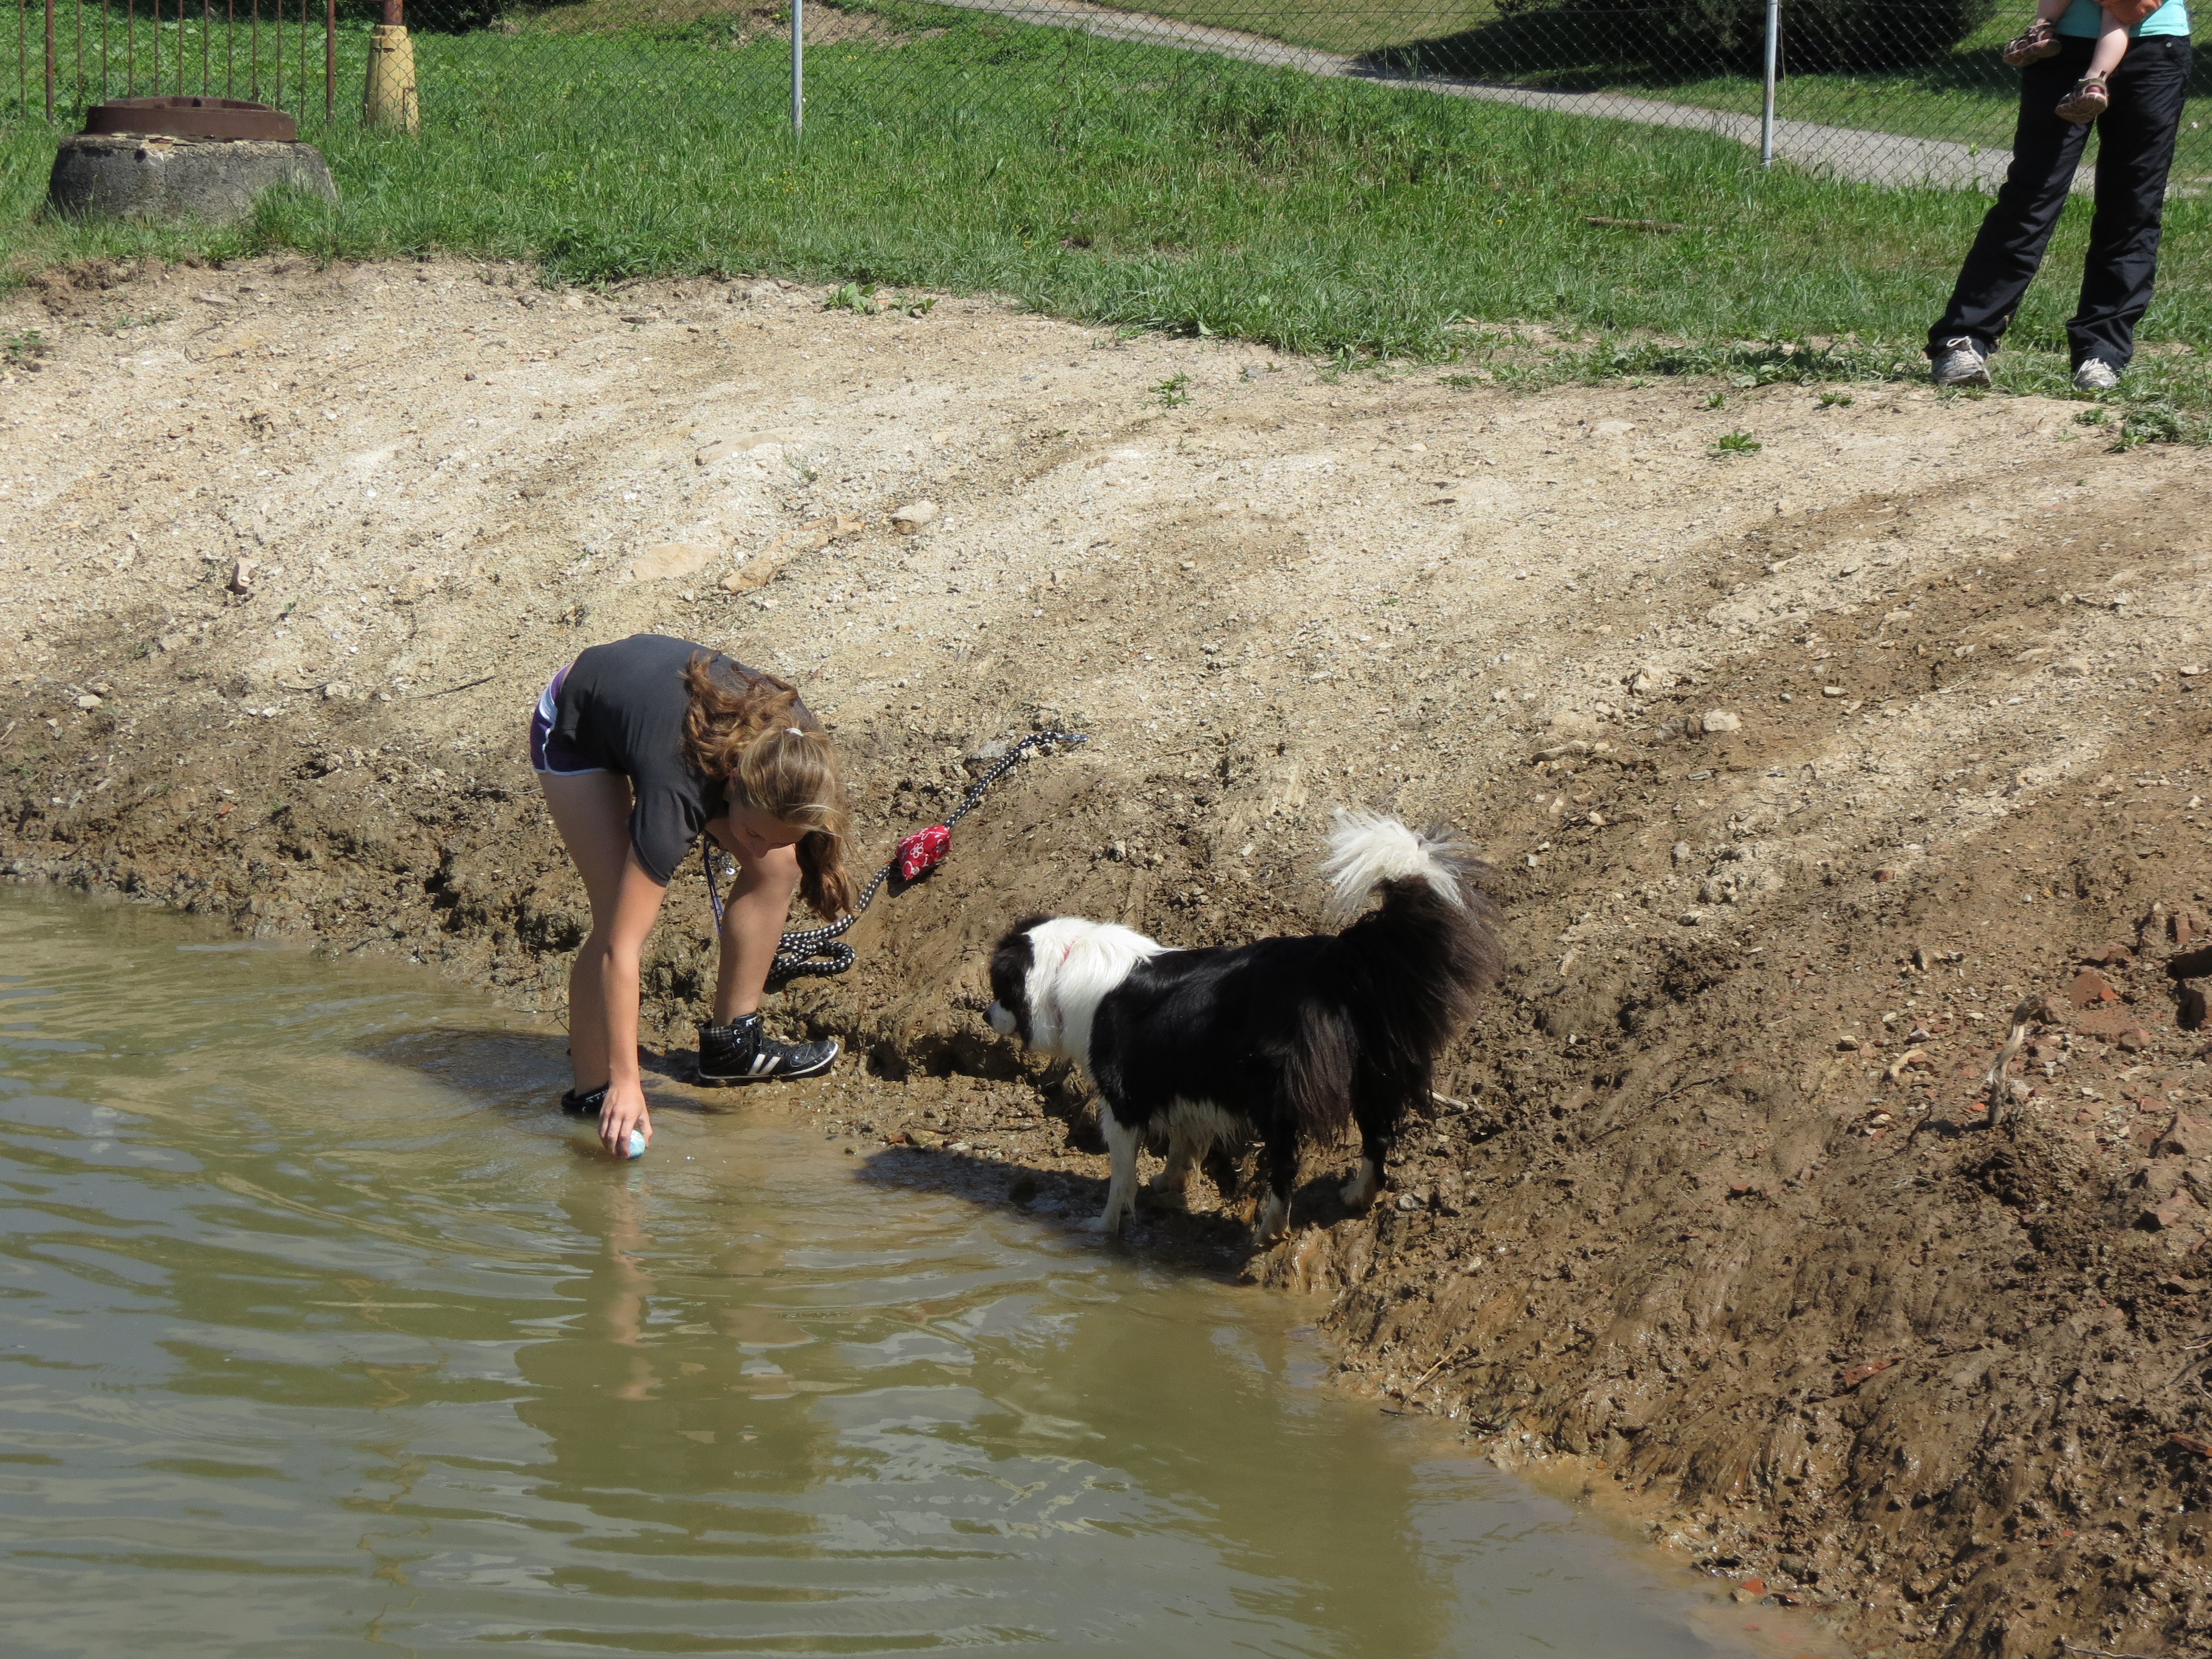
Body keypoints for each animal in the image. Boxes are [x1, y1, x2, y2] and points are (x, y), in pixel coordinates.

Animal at [987, 814, 1504, 1239]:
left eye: (998, 988)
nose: (986, 1015)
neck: (1062, 965)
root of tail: (1332, 960)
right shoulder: (1182, 1083)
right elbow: (1182, 1140)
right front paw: (1169, 1182)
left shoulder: (1122, 1100)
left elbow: (1121, 1174)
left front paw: (1106, 1225)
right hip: (1371, 1073)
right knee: (1376, 1139)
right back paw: (1357, 1197)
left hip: (1278, 1096)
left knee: (1286, 1164)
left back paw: (1270, 1228)